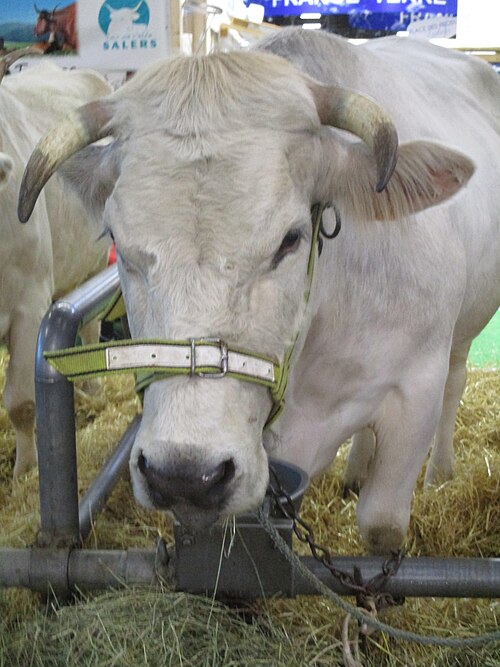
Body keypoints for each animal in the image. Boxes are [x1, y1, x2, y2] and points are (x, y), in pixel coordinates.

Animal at [17, 29, 500, 554]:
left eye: (291, 238)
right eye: (117, 243)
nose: (184, 475)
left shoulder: (416, 390)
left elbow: (382, 525)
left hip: (463, 332)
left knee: (456, 380)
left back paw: (440, 472)